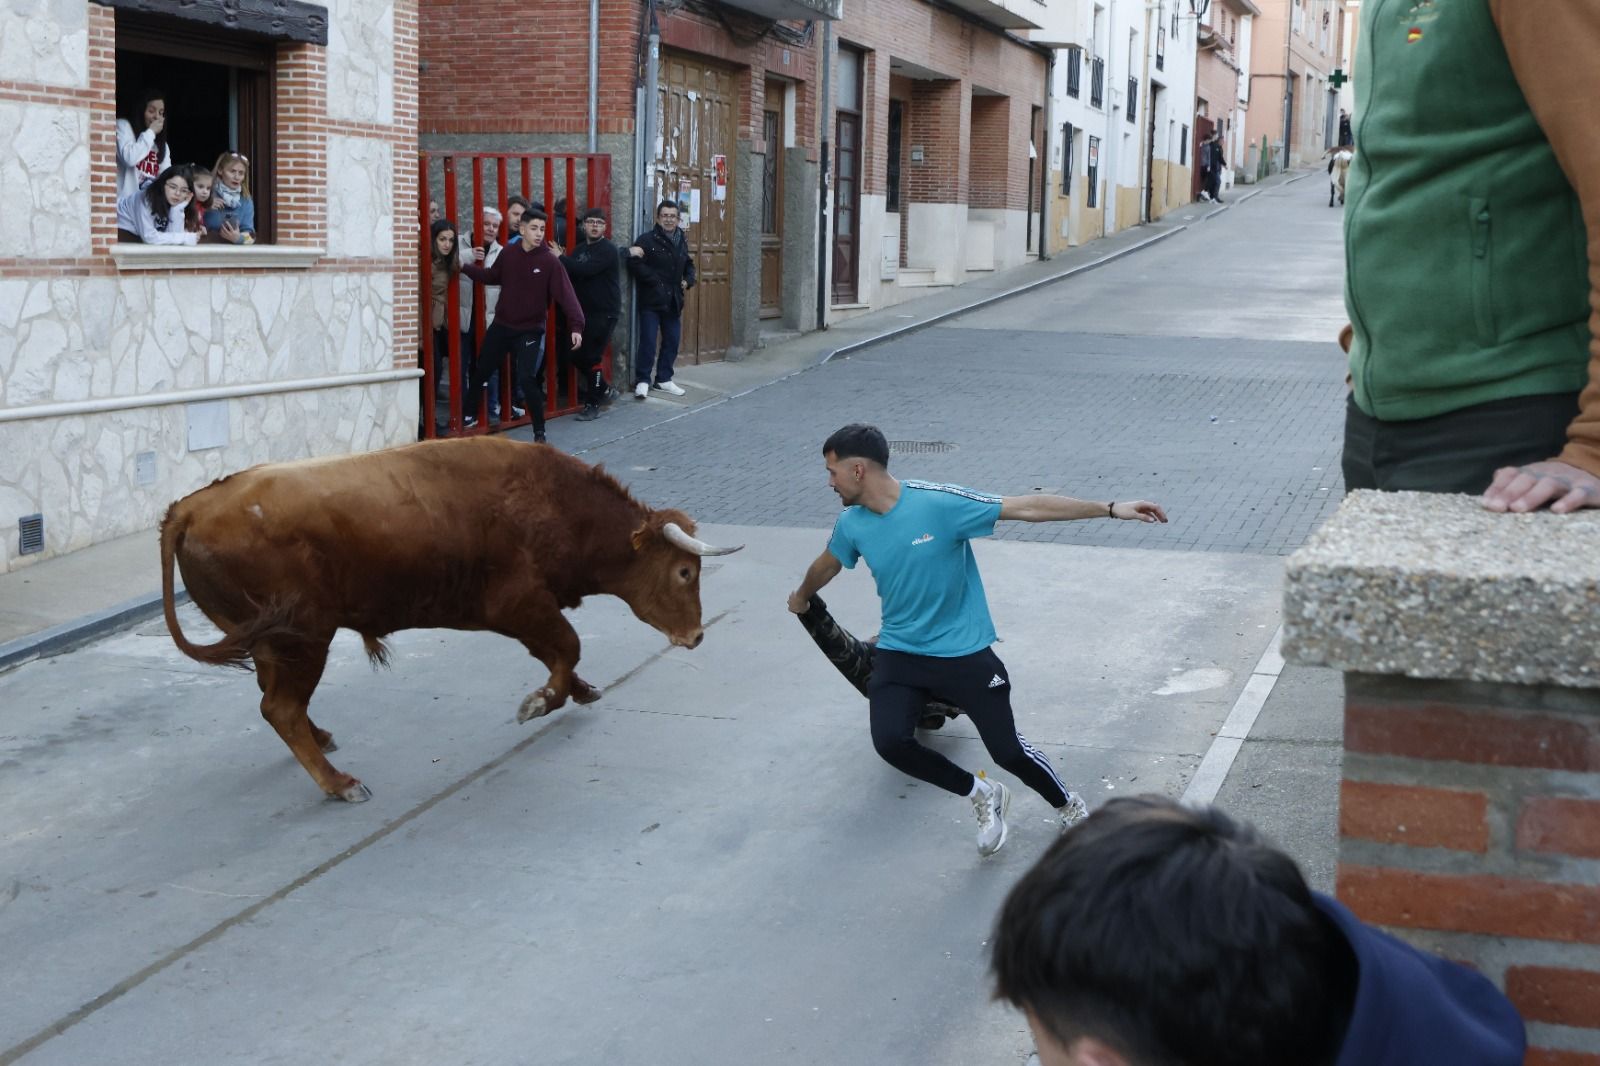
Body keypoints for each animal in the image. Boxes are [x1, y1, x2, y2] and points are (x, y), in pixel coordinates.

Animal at [160, 435, 736, 800]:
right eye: (685, 571)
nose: (696, 636)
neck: (551, 502)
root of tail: (189, 508)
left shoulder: (527, 613)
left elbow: (563, 654)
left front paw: (581, 690)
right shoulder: (521, 604)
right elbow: (568, 647)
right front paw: (539, 702)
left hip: (272, 643)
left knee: (275, 700)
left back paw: (322, 740)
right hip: (304, 637)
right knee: (279, 707)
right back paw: (340, 783)